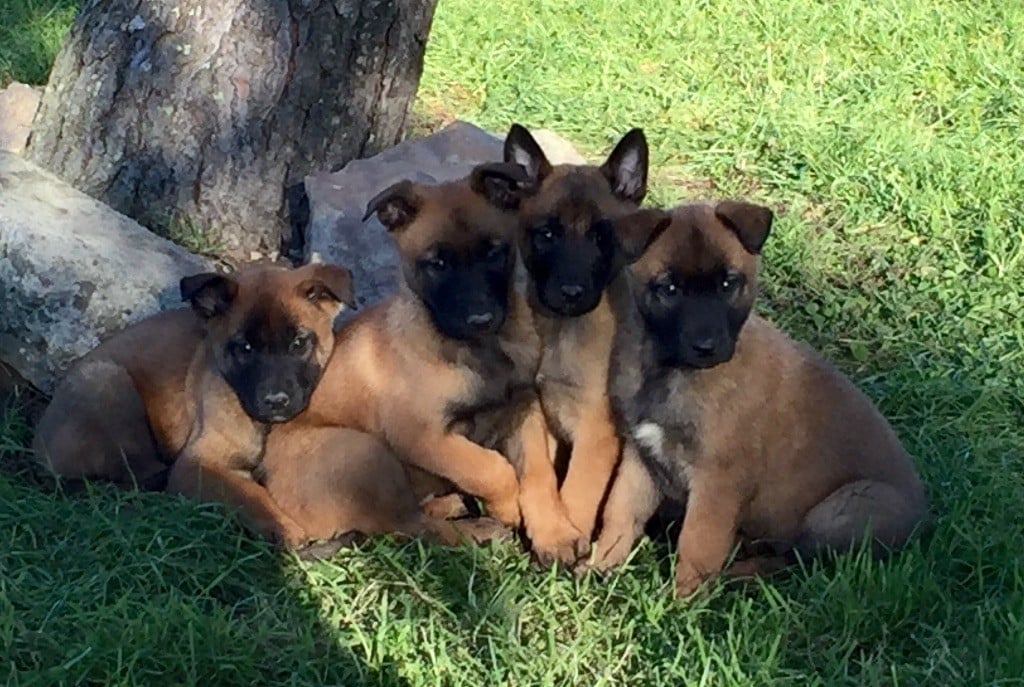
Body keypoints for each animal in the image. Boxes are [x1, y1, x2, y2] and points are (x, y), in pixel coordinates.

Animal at [501, 123, 675, 565]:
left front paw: (570, 533)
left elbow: (579, 486)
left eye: (601, 237)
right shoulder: (531, 410)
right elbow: (539, 473)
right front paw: (552, 531)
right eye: (547, 234)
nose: (570, 293)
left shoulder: (596, 429)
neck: (560, 331)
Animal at [585, 198, 929, 597]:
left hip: (845, 509)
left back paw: (739, 576)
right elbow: (620, 511)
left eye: (728, 284)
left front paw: (685, 601)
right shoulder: (641, 457)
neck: (668, 370)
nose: (707, 347)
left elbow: (698, 541)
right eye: (670, 288)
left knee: (802, 562)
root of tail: (924, 525)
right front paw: (601, 567)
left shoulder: (718, 479)